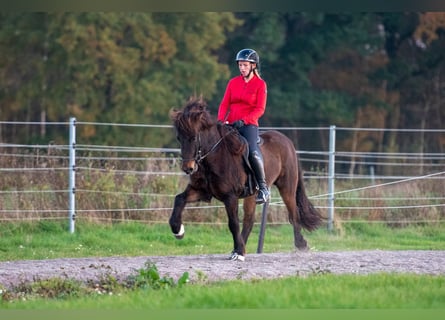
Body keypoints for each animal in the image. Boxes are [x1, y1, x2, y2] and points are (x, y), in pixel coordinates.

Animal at [168, 97, 320, 260]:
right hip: (252, 195)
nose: (188, 168)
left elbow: (233, 223)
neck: (215, 157)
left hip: (287, 188)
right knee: (249, 220)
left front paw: (239, 251)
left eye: (194, 138)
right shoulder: (200, 191)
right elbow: (179, 199)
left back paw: (301, 244)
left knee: (293, 214)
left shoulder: (230, 197)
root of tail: (287, 142)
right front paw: (178, 230)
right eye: (179, 138)